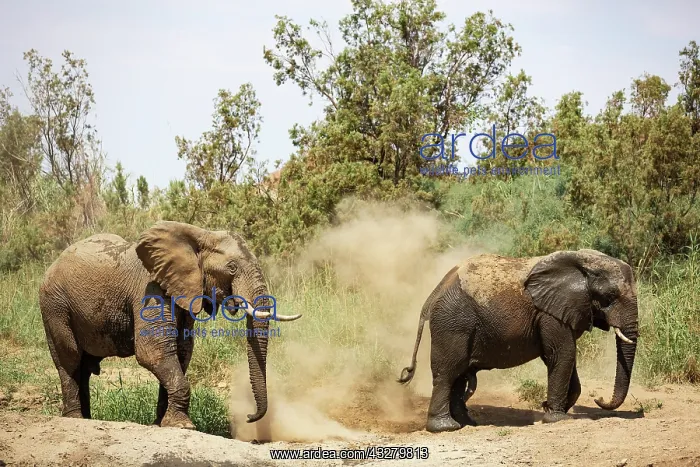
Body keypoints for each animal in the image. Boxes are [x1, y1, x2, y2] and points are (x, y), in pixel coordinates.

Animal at [39, 221, 302, 429]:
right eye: (232, 267)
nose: (248, 417)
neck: (199, 235)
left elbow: (182, 351)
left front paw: (161, 424)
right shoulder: (149, 290)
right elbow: (154, 351)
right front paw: (183, 426)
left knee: (83, 367)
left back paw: (88, 419)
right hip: (54, 306)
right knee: (69, 359)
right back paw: (75, 420)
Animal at [398, 249, 639, 433]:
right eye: (610, 297)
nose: (599, 398)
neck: (582, 261)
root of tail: (435, 292)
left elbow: (563, 357)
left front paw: (550, 409)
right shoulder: (550, 313)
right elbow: (562, 354)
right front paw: (558, 419)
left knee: (459, 375)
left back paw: (468, 423)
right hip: (452, 323)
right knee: (448, 372)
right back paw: (446, 427)